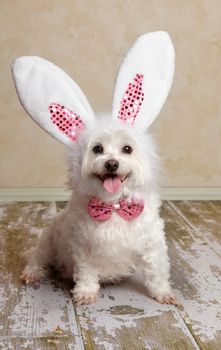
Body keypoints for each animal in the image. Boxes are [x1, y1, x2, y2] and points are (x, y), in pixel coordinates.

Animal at [11, 30, 178, 304]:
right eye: (97, 149)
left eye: (127, 149)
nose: (111, 163)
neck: (114, 206)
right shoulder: (84, 247)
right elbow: (87, 273)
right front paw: (86, 293)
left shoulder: (152, 245)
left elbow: (157, 273)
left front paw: (163, 293)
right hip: (48, 242)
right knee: (37, 258)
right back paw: (33, 273)